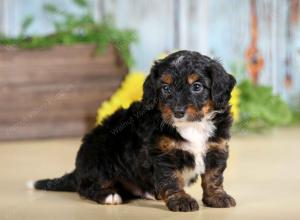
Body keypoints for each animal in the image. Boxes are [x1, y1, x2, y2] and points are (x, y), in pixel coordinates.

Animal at [31, 49, 237, 211]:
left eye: (197, 86)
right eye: (165, 88)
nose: (178, 112)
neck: (192, 126)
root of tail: (78, 170)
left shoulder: (216, 148)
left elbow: (213, 176)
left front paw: (217, 197)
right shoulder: (163, 154)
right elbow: (171, 178)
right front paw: (181, 200)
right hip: (101, 157)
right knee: (87, 187)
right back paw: (109, 195)